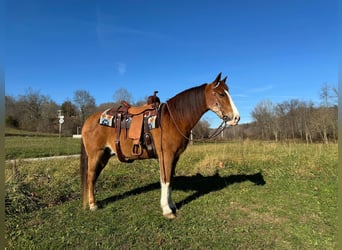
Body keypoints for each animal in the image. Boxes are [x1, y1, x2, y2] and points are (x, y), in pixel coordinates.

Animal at [80, 73, 240, 219]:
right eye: (221, 94)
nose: (236, 118)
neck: (173, 119)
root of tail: (88, 120)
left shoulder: (175, 157)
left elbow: (170, 180)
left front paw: (172, 205)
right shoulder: (166, 155)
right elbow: (165, 180)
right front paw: (167, 210)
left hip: (104, 156)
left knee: (93, 177)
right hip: (96, 155)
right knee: (90, 177)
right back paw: (93, 205)